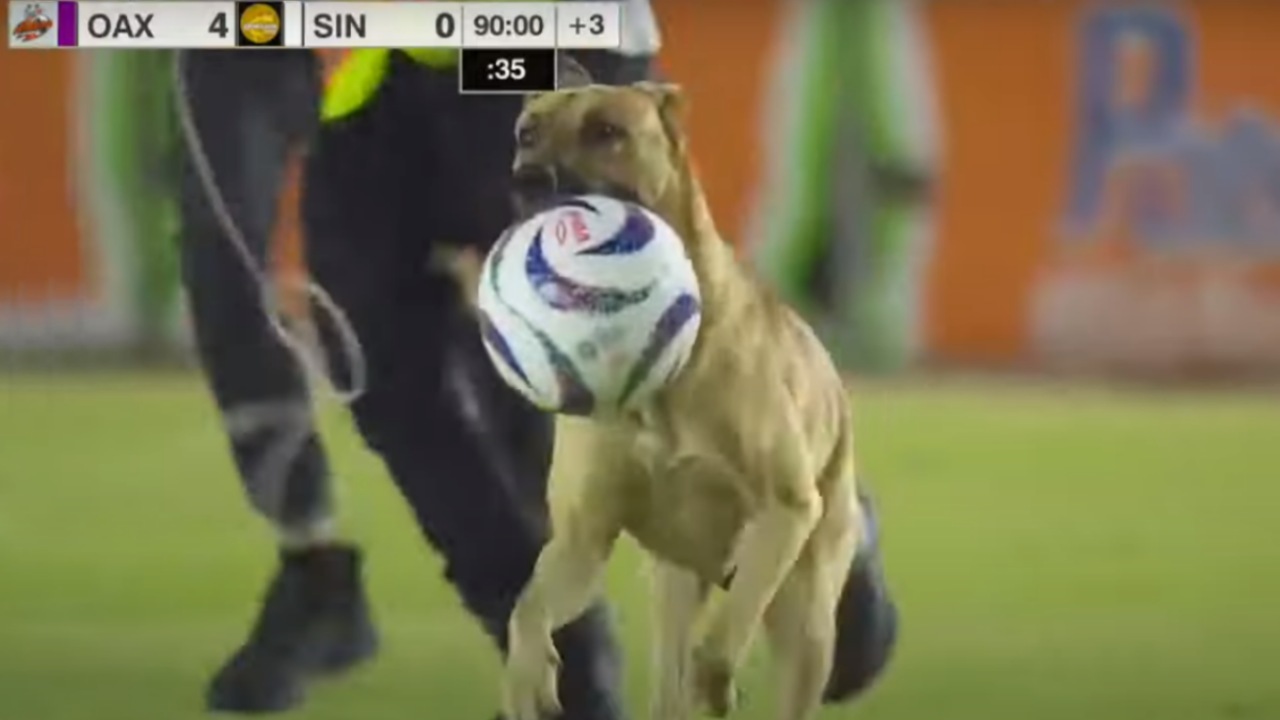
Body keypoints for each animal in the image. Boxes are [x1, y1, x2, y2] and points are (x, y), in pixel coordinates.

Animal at [499, 74, 870, 717]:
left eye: (606, 130)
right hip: (673, 592)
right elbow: (528, 610)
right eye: (528, 133)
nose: (527, 179)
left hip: (807, 613)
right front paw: (528, 677)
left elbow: (721, 643)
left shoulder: (784, 512)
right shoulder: (581, 541)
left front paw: (719, 680)